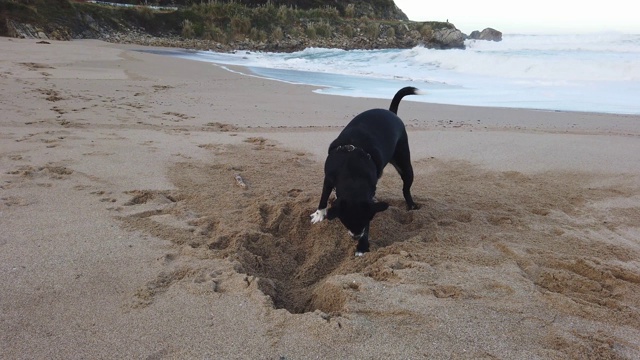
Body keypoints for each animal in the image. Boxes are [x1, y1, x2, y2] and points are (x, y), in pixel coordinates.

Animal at [310, 87, 420, 256]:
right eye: (345, 221)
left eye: (366, 221)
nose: (356, 236)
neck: (352, 172)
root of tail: (391, 112)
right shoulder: (328, 178)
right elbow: (323, 197)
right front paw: (319, 214)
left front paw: (362, 246)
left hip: (405, 165)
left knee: (406, 188)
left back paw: (411, 205)